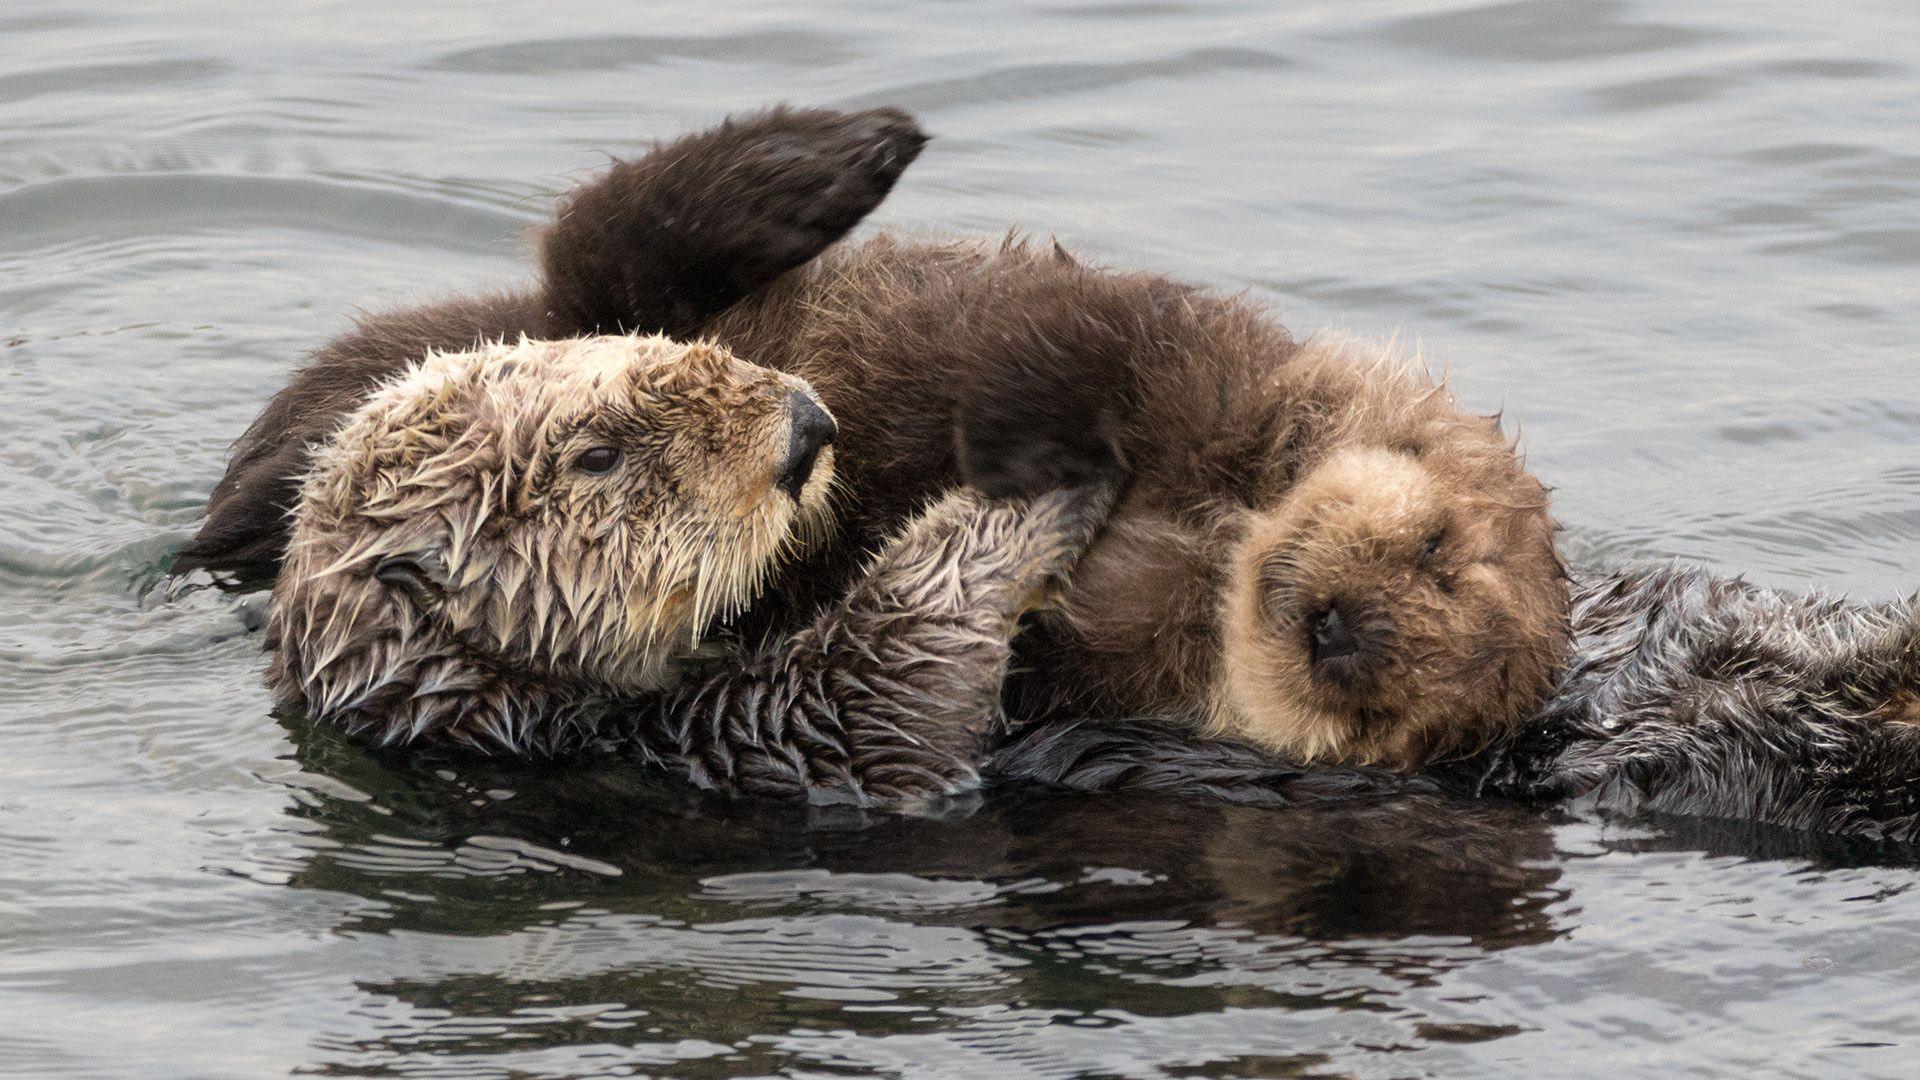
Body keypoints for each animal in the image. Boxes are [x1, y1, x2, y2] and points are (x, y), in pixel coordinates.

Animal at [172, 105, 1566, 768]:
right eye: (1439, 552)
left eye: (1379, 695)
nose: (1337, 624)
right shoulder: (1212, 371)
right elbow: (1093, 337)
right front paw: (1029, 449)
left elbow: (893, 680)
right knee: (597, 246)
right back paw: (839, 156)